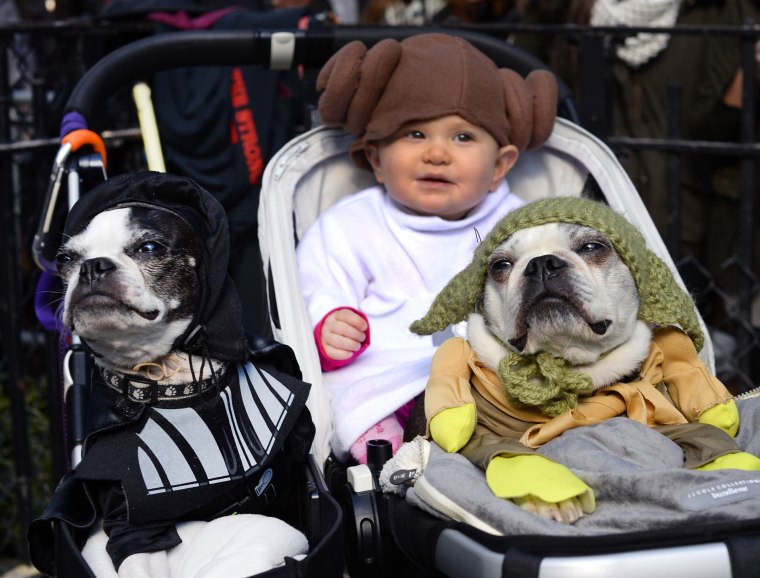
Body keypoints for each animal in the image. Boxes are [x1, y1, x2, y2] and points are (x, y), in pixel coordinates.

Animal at [29, 171, 314, 576]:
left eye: (149, 248)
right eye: (65, 259)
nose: (92, 266)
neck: (171, 384)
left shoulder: (281, 486)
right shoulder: (133, 529)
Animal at [412, 196, 756, 524]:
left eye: (592, 247)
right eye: (500, 265)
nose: (541, 264)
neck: (566, 366)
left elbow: (708, 435)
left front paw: (733, 467)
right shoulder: (482, 434)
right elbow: (511, 453)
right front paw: (550, 493)